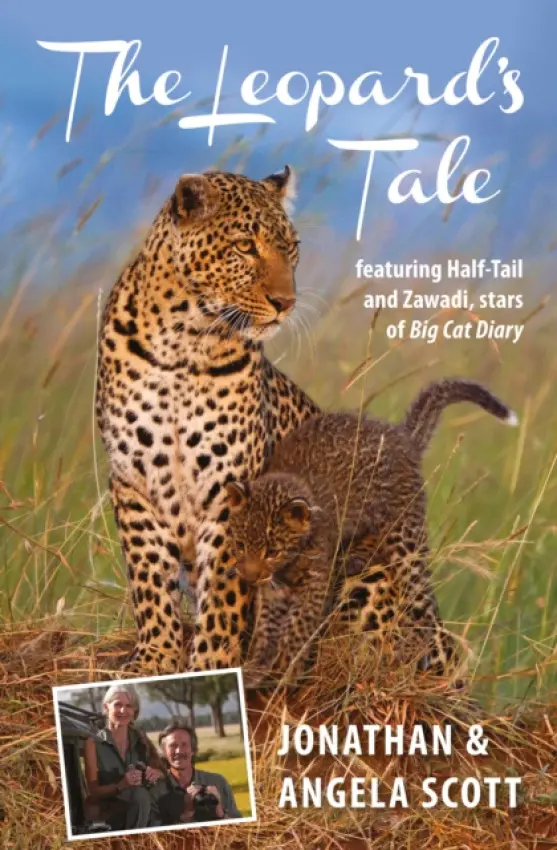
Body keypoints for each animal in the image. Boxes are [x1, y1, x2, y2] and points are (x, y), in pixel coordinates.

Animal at [96, 165, 321, 673]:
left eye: (292, 248)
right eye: (245, 246)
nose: (285, 302)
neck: (184, 339)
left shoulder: (230, 487)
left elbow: (224, 588)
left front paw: (213, 664)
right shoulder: (132, 480)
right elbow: (148, 576)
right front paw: (155, 659)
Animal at [222, 379, 517, 683]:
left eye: (273, 552)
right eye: (240, 546)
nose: (249, 577)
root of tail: (400, 434)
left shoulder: (315, 586)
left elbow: (298, 629)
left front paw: (286, 671)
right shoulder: (274, 592)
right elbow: (265, 630)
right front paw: (254, 669)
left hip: (406, 539)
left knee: (421, 601)